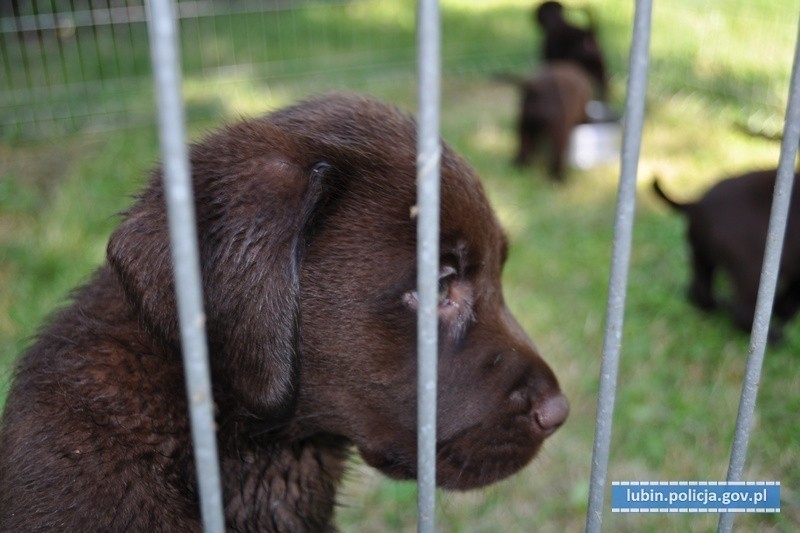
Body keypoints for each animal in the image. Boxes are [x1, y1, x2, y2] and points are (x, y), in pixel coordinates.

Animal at [652, 169, 796, 336]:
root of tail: (697, 204)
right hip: (751, 267)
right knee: (742, 312)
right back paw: (776, 335)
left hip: (700, 256)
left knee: (700, 292)